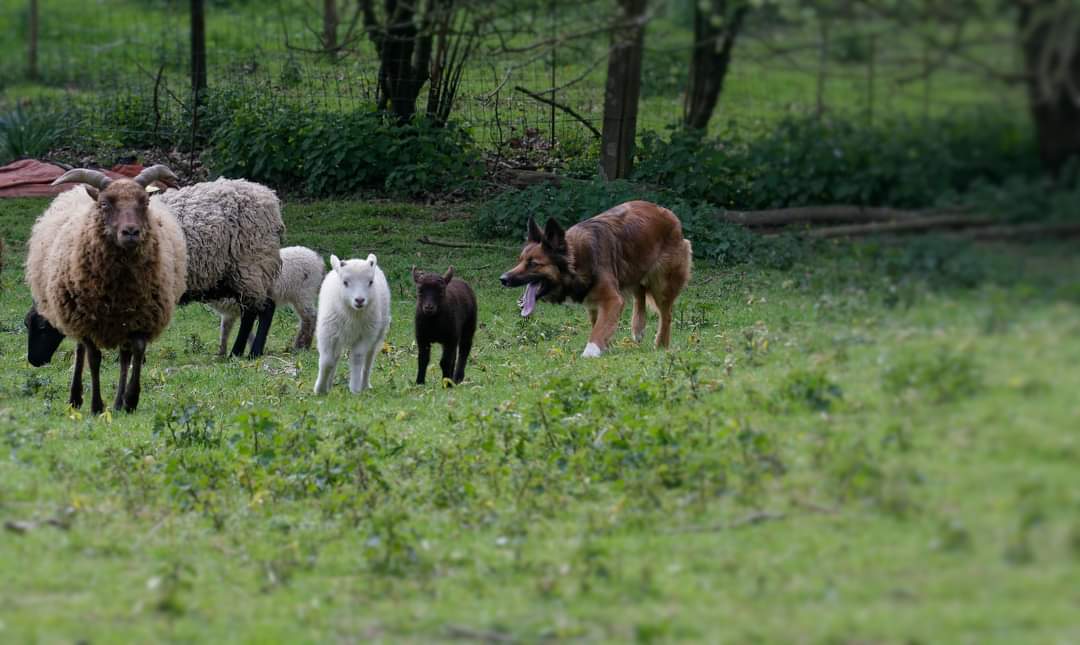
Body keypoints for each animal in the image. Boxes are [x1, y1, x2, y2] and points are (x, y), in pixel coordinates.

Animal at [25, 165, 187, 414]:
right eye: (104, 204)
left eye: (144, 202)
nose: (131, 232)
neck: (119, 289)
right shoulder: (88, 320)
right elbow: (94, 358)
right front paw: (96, 406)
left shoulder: (141, 316)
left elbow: (136, 352)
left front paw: (130, 399)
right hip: (74, 311)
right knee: (81, 350)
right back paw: (75, 398)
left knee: (124, 356)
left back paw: (118, 402)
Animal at [313, 254, 391, 395]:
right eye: (345, 282)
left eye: (370, 282)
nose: (359, 300)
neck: (352, 315)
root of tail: (357, 258)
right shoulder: (327, 333)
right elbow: (327, 361)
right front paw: (320, 389)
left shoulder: (365, 335)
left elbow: (357, 358)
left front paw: (355, 389)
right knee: (335, 357)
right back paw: (329, 384)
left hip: (378, 332)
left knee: (368, 359)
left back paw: (364, 384)